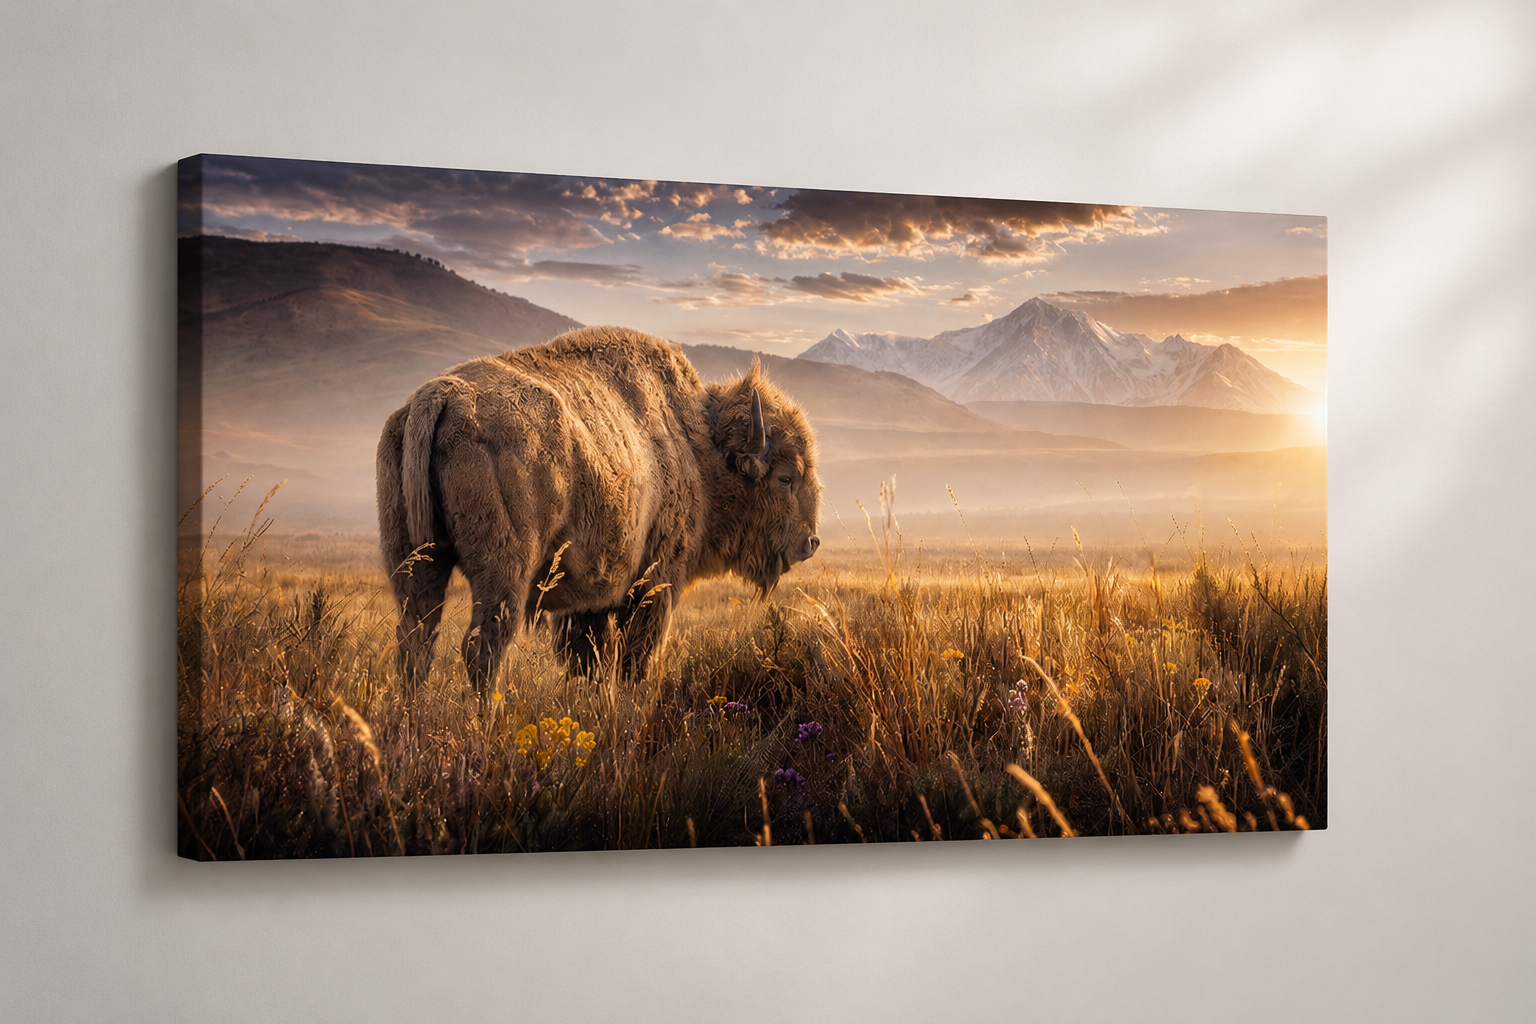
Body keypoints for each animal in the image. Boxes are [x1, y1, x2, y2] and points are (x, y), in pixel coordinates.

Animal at [376, 326, 821, 695]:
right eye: (786, 478)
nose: (810, 542)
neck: (695, 444)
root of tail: (441, 393)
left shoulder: (586, 603)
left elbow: (586, 659)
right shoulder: (653, 583)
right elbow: (633, 658)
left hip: (416, 566)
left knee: (415, 645)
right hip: (503, 575)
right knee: (483, 648)